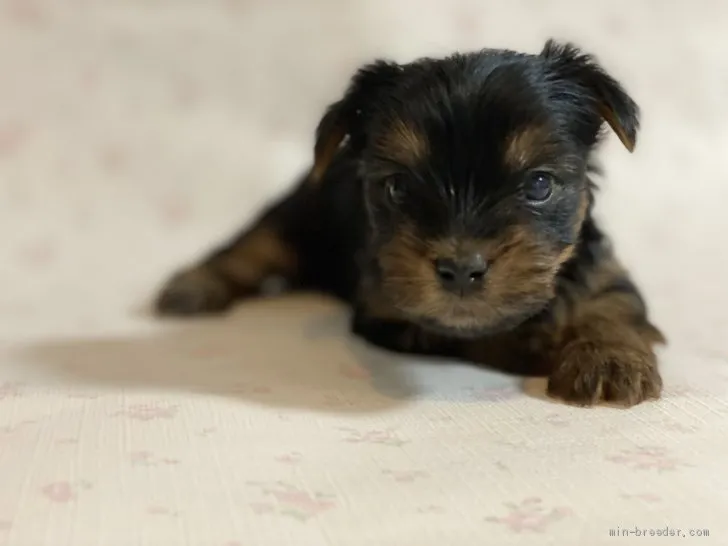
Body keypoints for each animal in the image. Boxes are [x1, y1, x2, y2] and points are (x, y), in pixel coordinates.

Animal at [155, 39, 664, 404]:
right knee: (254, 245)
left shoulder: (599, 267)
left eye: (539, 185)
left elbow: (614, 303)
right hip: (299, 214)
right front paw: (537, 347)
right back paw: (191, 287)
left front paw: (608, 361)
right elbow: (466, 335)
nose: (461, 268)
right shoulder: (392, 315)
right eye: (398, 187)